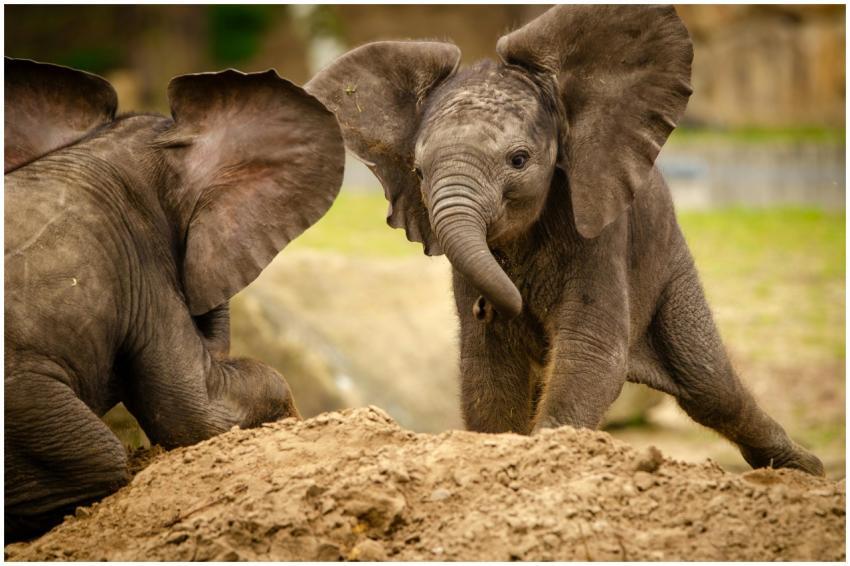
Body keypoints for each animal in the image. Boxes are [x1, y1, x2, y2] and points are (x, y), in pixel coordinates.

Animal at [306, 5, 824, 475]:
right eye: (417, 171)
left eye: (518, 160)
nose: (494, 303)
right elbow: (488, 365)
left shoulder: (599, 226)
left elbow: (590, 347)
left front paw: (548, 447)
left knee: (709, 385)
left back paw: (806, 468)